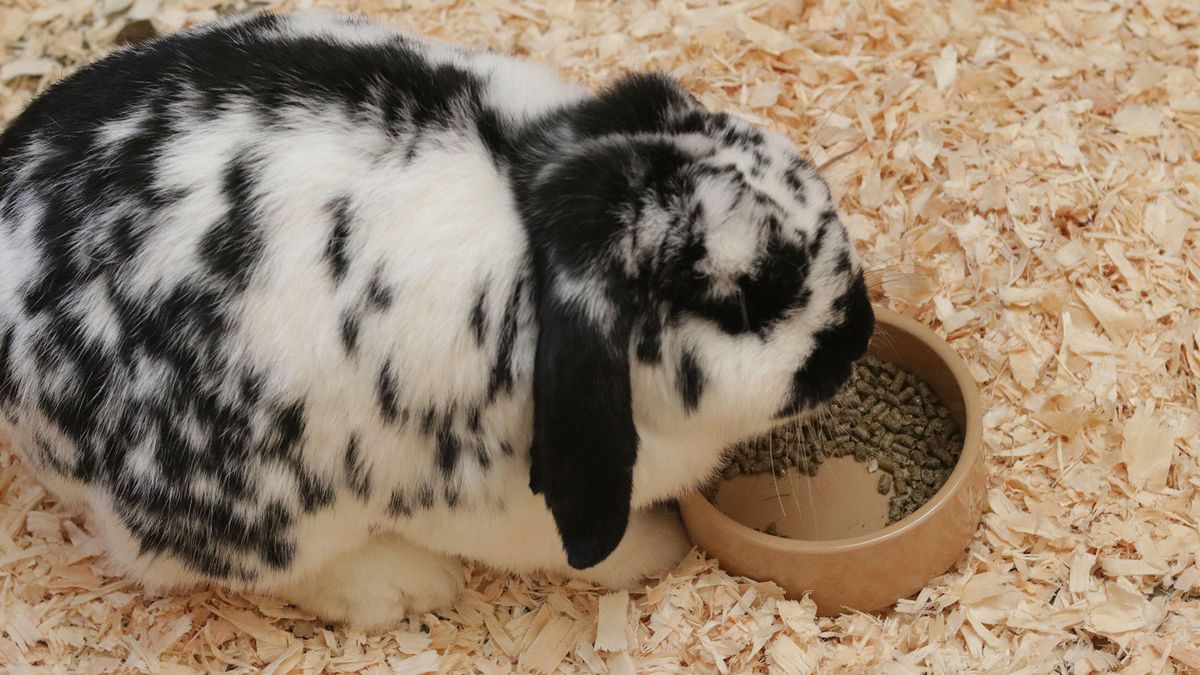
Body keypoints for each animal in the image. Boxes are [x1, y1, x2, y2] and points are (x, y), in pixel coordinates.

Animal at [0, 10, 873, 629]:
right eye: (739, 299)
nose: (857, 337)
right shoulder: (503, 507)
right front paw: (658, 546)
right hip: (251, 515)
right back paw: (400, 586)